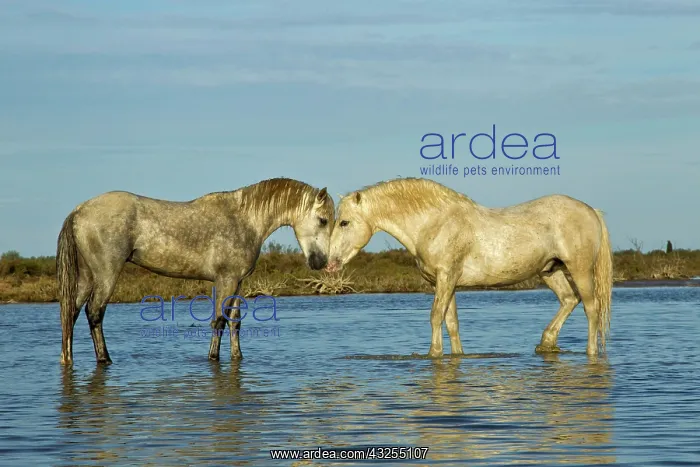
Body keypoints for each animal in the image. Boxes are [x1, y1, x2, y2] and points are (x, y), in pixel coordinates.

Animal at [57, 177, 335, 365]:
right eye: (323, 220)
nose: (321, 262)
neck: (244, 220)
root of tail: (78, 211)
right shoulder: (225, 279)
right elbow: (219, 320)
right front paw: (213, 357)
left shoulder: (238, 282)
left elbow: (235, 322)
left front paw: (238, 356)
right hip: (106, 274)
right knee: (94, 312)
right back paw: (105, 359)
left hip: (87, 276)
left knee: (71, 312)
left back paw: (67, 358)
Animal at [325, 177, 613, 358]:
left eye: (344, 222)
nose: (330, 263)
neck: (435, 223)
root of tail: (591, 211)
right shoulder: (445, 282)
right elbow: (451, 322)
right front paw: (456, 354)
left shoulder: (446, 277)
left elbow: (435, 316)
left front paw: (434, 353)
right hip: (550, 271)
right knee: (569, 299)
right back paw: (546, 344)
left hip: (579, 270)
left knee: (591, 308)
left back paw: (590, 352)